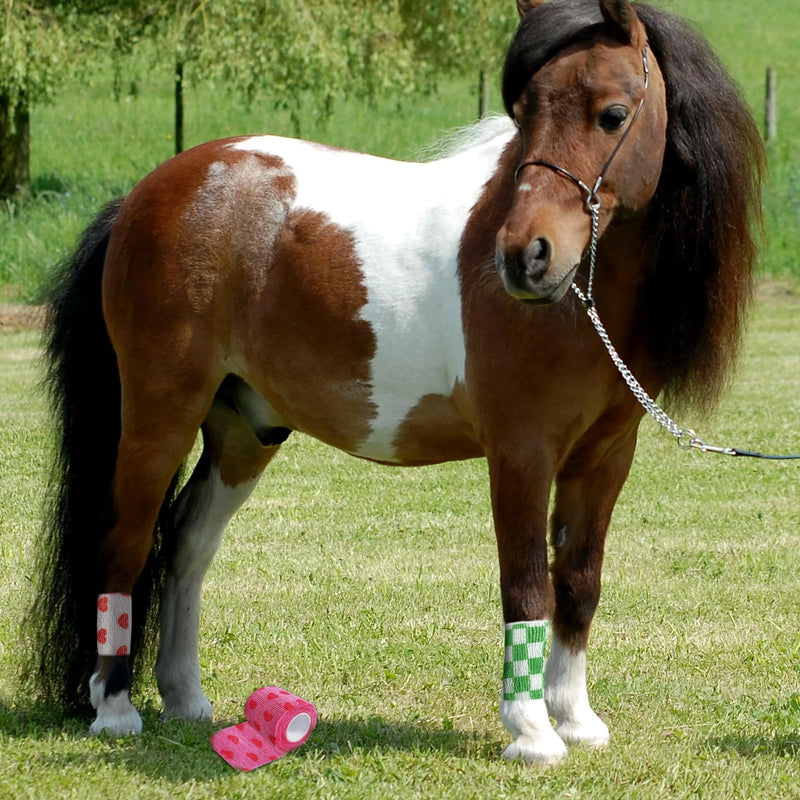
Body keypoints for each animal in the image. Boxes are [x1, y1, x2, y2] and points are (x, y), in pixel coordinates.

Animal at [29, 0, 763, 765]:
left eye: (613, 115)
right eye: (524, 110)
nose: (523, 257)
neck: (578, 307)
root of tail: (148, 194)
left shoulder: (605, 458)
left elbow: (579, 583)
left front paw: (576, 720)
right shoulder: (522, 455)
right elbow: (527, 585)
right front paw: (531, 733)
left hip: (244, 431)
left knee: (187, 542)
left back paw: (186, 700)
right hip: (158, 415)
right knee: (127, 539)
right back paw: (114, 710)